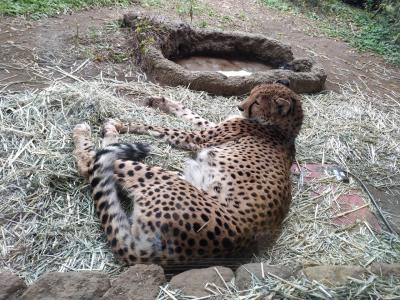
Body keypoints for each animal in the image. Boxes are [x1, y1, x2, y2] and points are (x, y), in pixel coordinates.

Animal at [72, 82, 304, 270]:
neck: (283, 129)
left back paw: (89, 132)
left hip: (160, 178)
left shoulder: (199, 138)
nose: (240, 106)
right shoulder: (209, 129)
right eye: (252, 93)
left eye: (256, 102)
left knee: (93, 161)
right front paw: (162, 102)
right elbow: (193, 115)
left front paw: (122, 124)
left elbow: (157, 127)